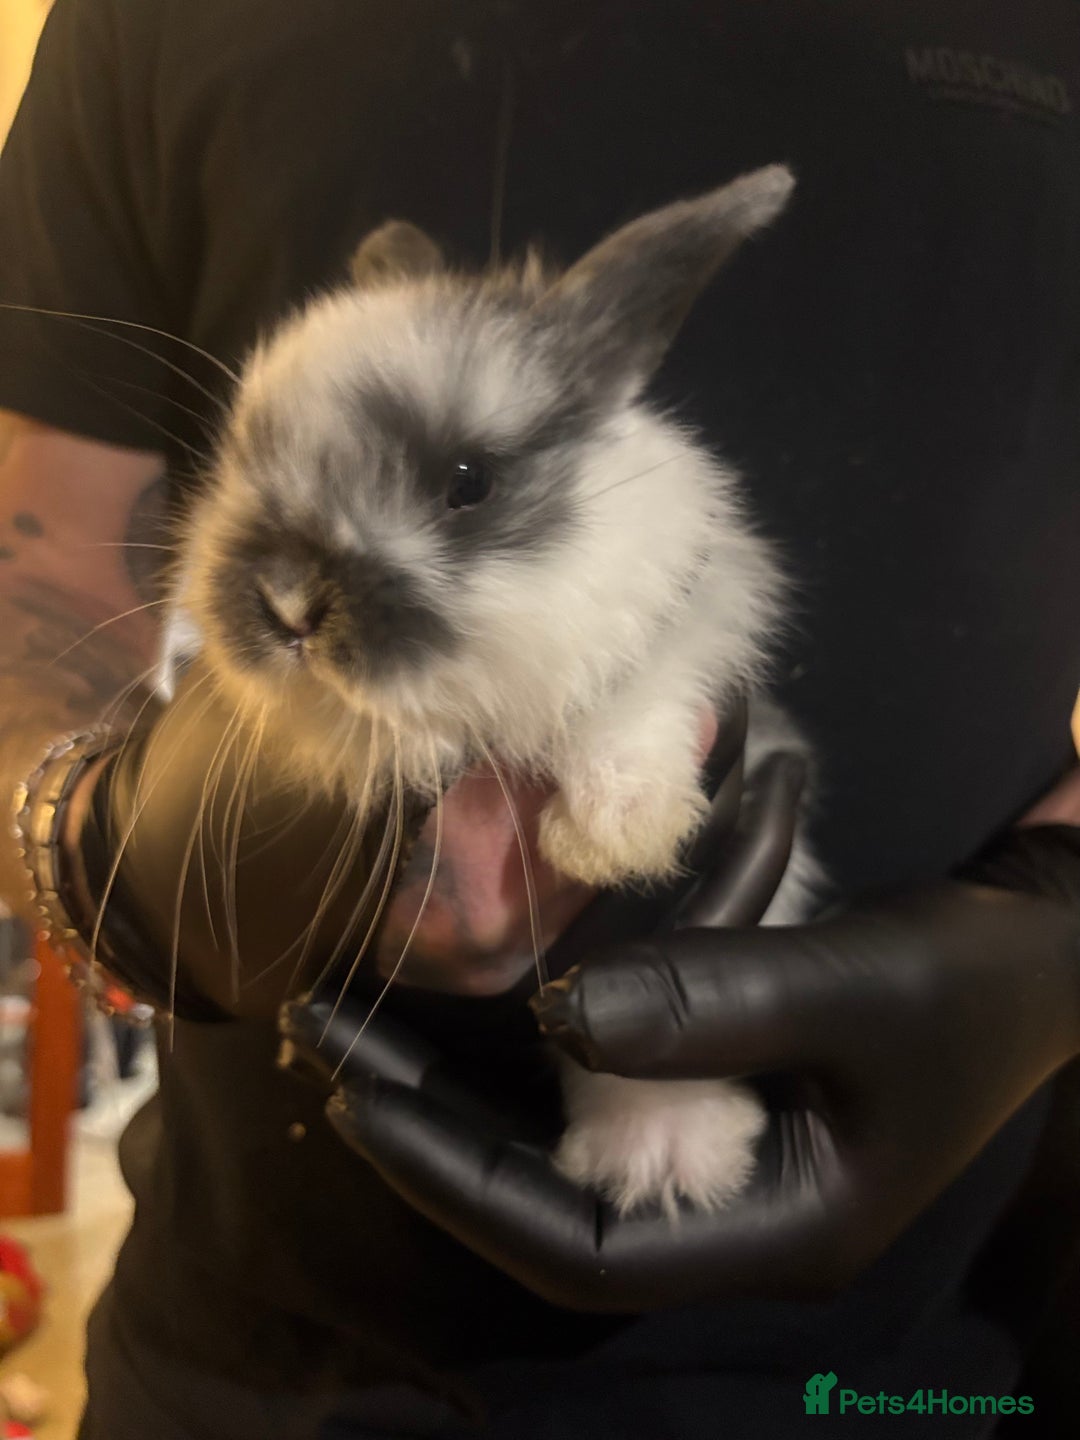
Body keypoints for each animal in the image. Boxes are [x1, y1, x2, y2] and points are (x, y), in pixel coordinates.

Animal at [161, 163, 819, 1218]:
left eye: (468, 482)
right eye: (241, 460)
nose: (288, 606)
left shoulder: (688, 629)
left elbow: (629, 701)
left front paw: (613, 834)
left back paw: (666, 1162)